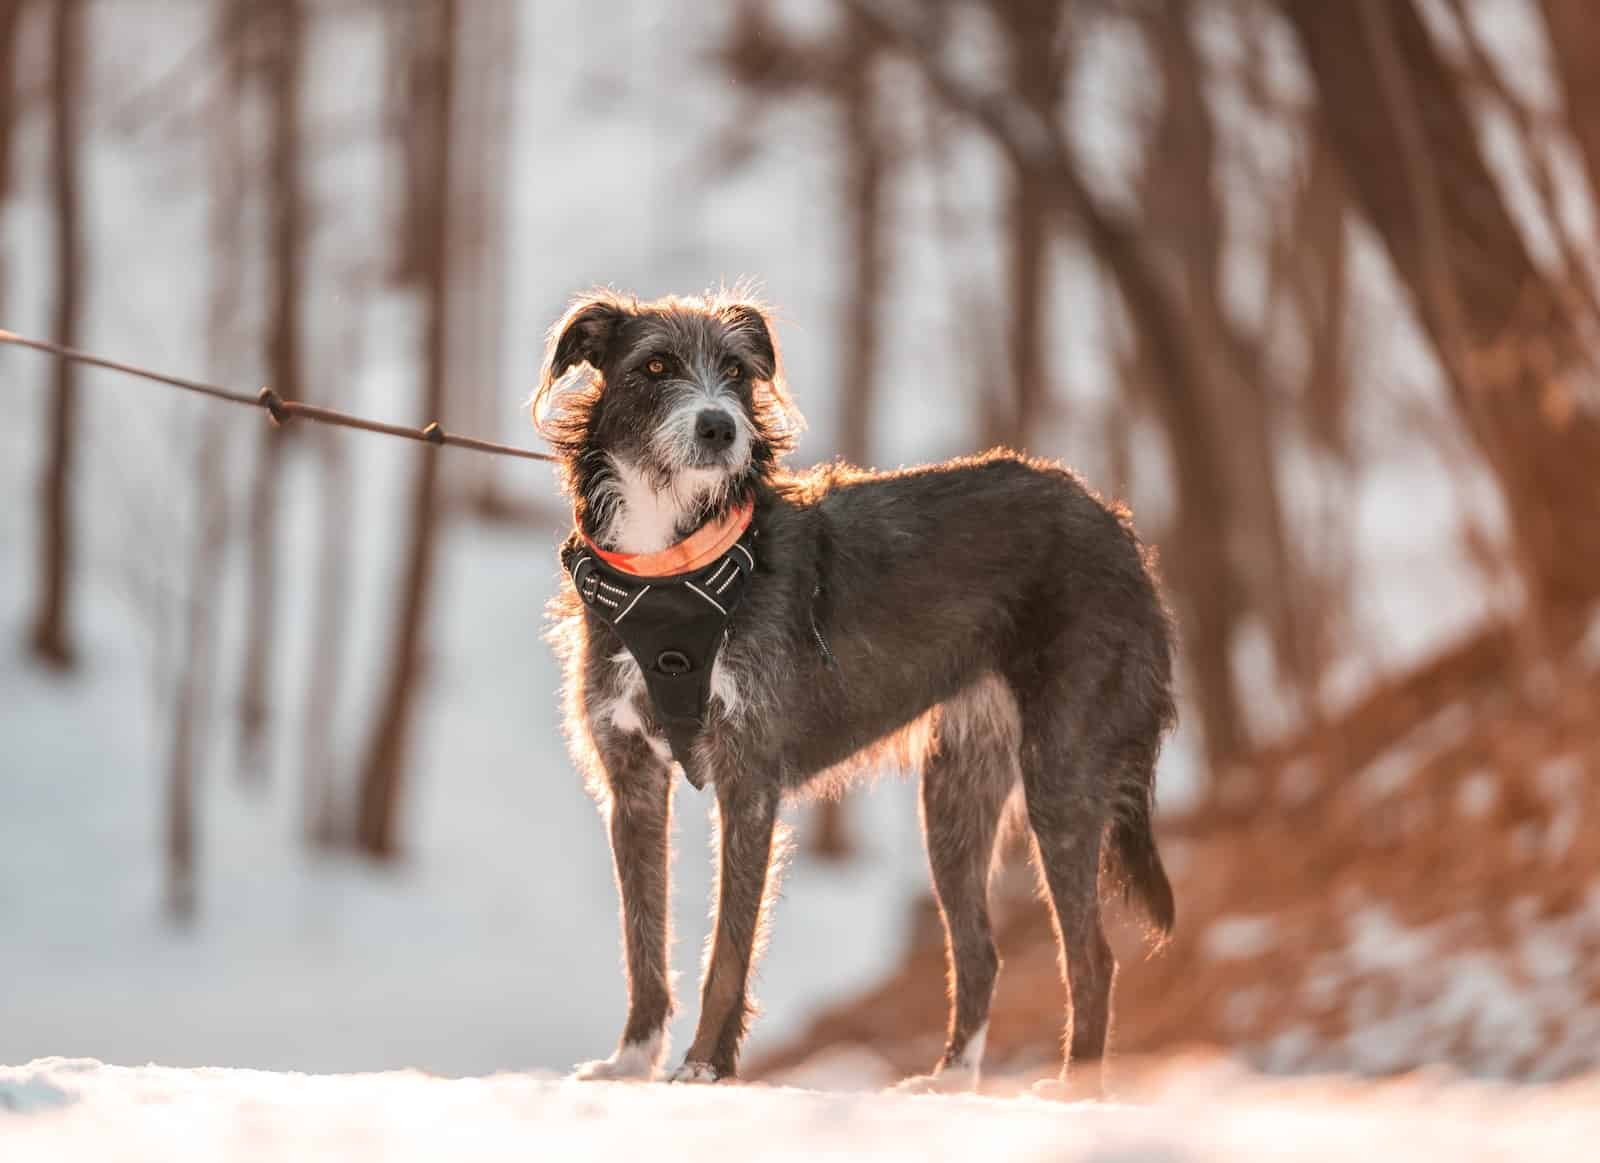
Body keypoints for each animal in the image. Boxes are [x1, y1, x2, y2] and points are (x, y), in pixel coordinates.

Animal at [537, 289, 1177, 1094]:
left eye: (736, 371)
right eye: (654, 366)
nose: (720, 427)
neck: (674, 567)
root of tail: (1118, 529)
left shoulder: (750, 779)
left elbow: (728, 951)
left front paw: (705, 1066)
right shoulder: (632, 784)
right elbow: (642, 943)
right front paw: (631, 1060)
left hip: (1061, 774)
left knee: (1092, 956)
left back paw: (1073, 1089)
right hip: (955, 791)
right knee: (981, 952)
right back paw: (949, 1079)